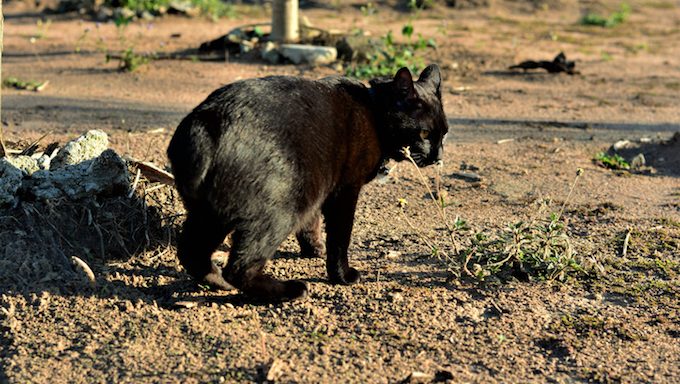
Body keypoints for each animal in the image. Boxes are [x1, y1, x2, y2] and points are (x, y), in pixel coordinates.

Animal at [167, 64, 448, 302]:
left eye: (444, 133)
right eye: (424, 133)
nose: (438, 156)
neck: (374, 111)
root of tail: (207, 123)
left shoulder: (320, 185)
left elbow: (311, 223)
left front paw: (314, 249)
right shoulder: (345, 190)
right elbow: (340, 238)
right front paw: (342, 276)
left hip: (210, 213)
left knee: (191, 252)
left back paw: (217, 281)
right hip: (282, 206)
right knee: (239, 267)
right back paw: (289, 290)